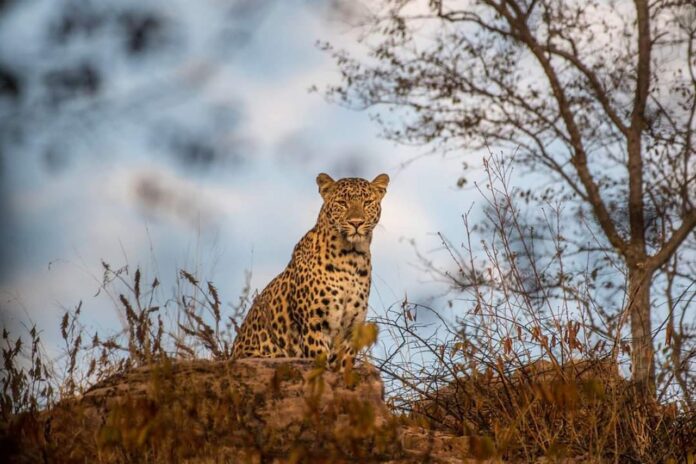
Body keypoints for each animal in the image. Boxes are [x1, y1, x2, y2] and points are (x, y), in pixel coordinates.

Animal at [231, 172, 388, 368]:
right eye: (342, 203)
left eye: (367, 202)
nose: (356, 222)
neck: (351, 257)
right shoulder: (314, 324)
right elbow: (320, 365)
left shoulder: (352, 328)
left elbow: (343, 366)